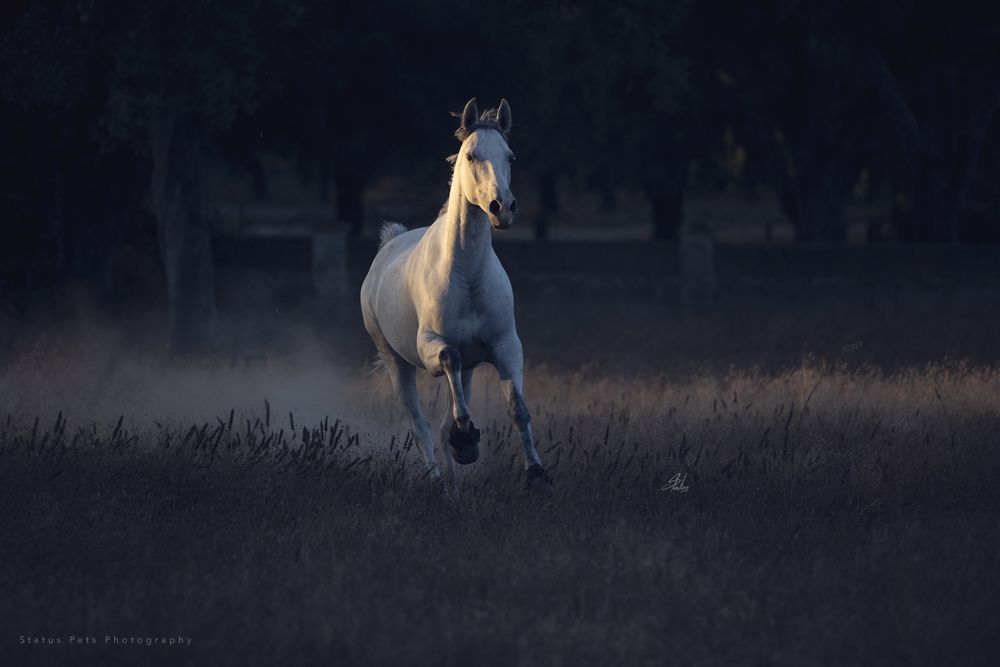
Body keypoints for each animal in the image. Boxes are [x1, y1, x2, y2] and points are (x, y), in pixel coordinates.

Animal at [360, 97, 553, 495]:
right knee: (420, 426)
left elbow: (518, 409)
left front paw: (537, 475)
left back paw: (454, 481)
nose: (502, 207)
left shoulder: (505, 346)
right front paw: (465, 441)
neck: (468, 277)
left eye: (510, 156)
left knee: (443, 416)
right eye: (471, 156)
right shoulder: (432, 348)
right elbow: (450, 360)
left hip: (468, 368)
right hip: (395, 362)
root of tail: (388, 247)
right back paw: (440, 480)